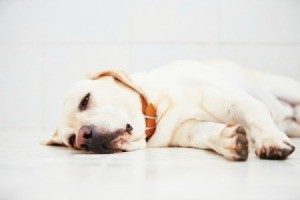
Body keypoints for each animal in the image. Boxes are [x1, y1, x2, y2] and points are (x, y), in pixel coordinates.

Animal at [43, 59, 298, 161]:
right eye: (72, 141)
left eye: (85, 100)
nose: (83, 137)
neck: (158, 108)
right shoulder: (191, 130)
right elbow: (211, 135)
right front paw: (229, 140)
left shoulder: (235, 100)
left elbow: (256, 115)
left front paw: (270, 140)